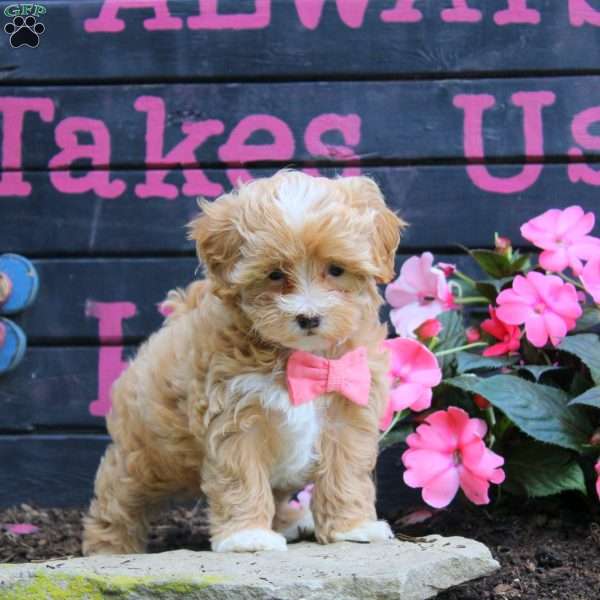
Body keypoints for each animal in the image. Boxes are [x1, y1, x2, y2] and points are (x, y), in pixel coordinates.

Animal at [82, 169, 406, 552]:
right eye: (275, 274)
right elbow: (242, 476)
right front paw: (246, 536)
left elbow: (346, 472)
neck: (300, 360)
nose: (309, 318)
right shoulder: (234, 415)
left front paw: (353, 527)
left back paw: (290, 521)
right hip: (148, 453)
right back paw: (109, 545)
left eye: (336, 269)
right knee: (119, 494)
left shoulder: (349, 409)